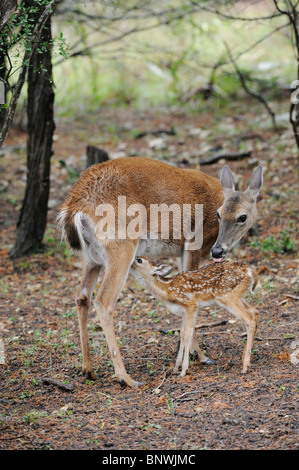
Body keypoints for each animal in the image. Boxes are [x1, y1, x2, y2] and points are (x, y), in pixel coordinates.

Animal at [57, 156, 264, 388]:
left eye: (242, 217)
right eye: (218, 215)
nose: (218, 250)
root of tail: (73, 208)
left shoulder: (179, 251)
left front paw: (188, 356)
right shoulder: (193, 242)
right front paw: (199, 356)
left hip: (90, 257)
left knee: (82, 298)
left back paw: (88, 370)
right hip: (120, 245)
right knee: (104, 301)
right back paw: (126, 378)